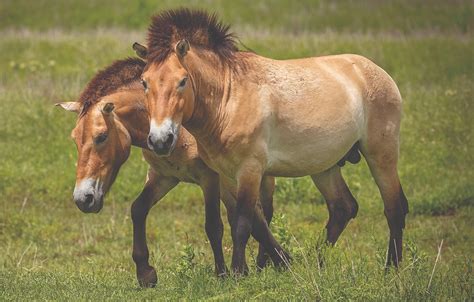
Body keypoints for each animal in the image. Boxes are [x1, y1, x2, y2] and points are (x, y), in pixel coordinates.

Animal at [55, 57, 286, 286]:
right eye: (74, 138)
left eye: (101, 136)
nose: (83, 199)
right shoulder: (163, 177)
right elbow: (138, 209)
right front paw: (145, 273)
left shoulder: (209, 178)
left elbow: (214, 225)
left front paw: (223, 274)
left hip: (258, 177)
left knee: (263, 212)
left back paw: (264, 262)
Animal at [140, 9, 408, 274]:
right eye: (144, 82)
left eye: (182, 81)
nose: (161, 140)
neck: (229, 98)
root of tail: (377, 72)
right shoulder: (225, 175)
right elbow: (245, 221)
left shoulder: (250, 170)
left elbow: (243, 223)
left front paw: (239, 273)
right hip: (324, 167)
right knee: (343, 207)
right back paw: (317, 266)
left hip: (380, 154)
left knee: (394, 207)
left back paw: (391, 268)